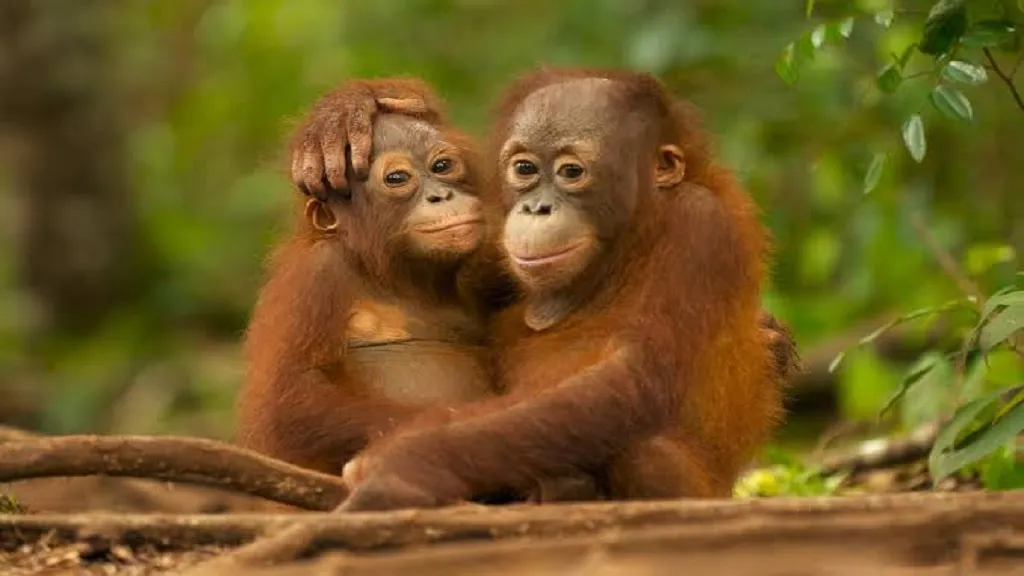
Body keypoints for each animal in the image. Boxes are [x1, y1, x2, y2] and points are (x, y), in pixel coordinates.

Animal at [333, 68, 789, 511]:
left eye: (571, 172)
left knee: (645, 448)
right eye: (525, 169)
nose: (537, 208)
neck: (625, 248)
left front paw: (401, 465)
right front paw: (346, 118)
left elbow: (632, 374)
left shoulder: (700, 225)